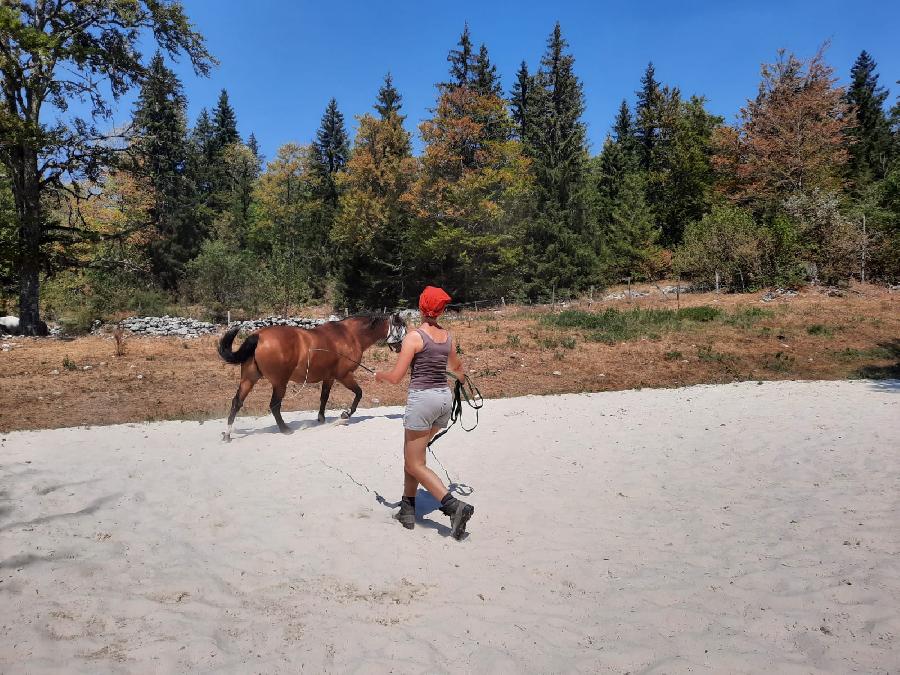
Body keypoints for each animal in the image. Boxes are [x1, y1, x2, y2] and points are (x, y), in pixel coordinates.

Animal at [217, 314, 404, 440]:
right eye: (401, 327)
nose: (401, 347)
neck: (350, 335)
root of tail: (259, 336)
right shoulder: (343, 375)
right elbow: (359, 393)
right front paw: (346, 414)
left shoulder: (329, 377)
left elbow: (324, 397)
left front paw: (321, 418)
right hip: (280, 383)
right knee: (274, 405)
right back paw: (285, 429)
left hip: (249, 379)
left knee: (237, 402)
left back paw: (227, 435)